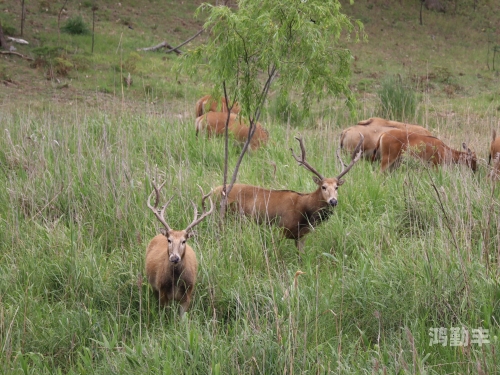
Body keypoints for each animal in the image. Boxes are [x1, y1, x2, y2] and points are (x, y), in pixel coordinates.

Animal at [146, 182, 214, 318]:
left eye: (184, 241)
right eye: (169, 240)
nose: (174, 257)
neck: (176, 282)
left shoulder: (188, 294)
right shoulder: (162, 291)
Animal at [215, 136, 364, 253]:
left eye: (337, 187)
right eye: (323, 187)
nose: (333, 201)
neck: (305, 212)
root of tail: (213, 190)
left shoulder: (301, 236)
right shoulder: (280, 228)